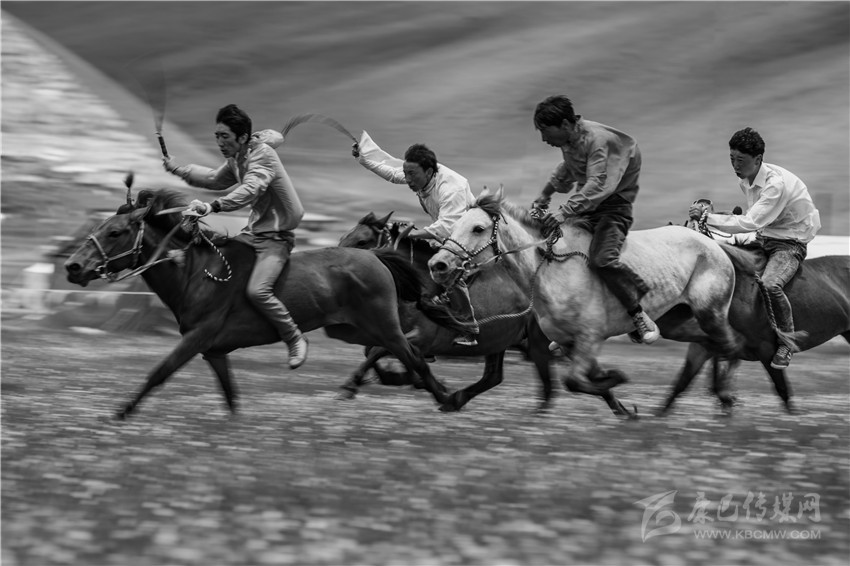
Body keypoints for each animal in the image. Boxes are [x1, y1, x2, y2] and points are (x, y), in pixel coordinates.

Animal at [63, 184, 451, 419]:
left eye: (115, 232)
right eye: (97, 228)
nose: (73, 266)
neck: (196, 272)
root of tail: (376, 257)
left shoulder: (197, 338)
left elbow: (159, 372)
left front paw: (121, 413)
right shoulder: (214, 351)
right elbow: (229, 393)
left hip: (384, 325)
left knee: (413, 356)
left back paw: (449, 398)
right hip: (349, 329)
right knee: (390, 354)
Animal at [337, 211, 634, 416]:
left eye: (362, 241)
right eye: (343, 237)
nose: (338, 264)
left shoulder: (421, 337)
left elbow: (381, 352)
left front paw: (354, 385)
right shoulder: (396, 333)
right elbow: (376, 352)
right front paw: (419, 383)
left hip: (536, 340)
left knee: (552, 378)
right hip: (504, 341)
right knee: (497, 376)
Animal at [427, 187, 743, 408]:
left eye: (478, 228)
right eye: (453, 226)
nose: (437, 265)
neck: (551, 269)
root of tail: (713, 245)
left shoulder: (590, 338)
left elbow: (574, 381)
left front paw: (618, 380)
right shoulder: (568, 343)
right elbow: (581, 381)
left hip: (710, 312)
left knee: (731, 345)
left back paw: (725, 395)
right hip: (676, 322)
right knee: (711, 344)